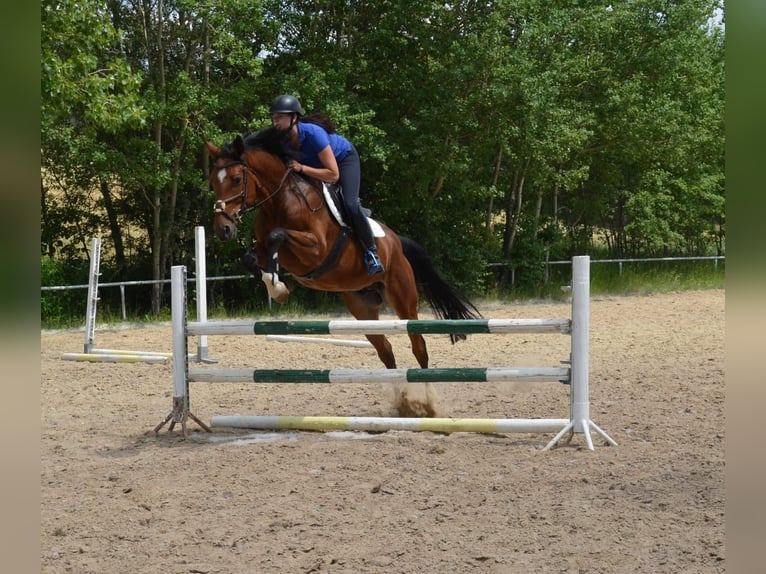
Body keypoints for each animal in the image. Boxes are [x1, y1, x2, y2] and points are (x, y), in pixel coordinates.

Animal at [204, 127, 480, 382]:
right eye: (213, 181)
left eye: (236, 179)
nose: (223, 229)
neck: (280, 200)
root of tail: (397, 244)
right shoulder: (264, 248)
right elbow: (252, 257)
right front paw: (277, 286)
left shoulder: (315, 250)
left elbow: (278, 235)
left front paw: (277, 286)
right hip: (362, 307)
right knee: (385, 349)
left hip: (403, 299)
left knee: (418, 346)